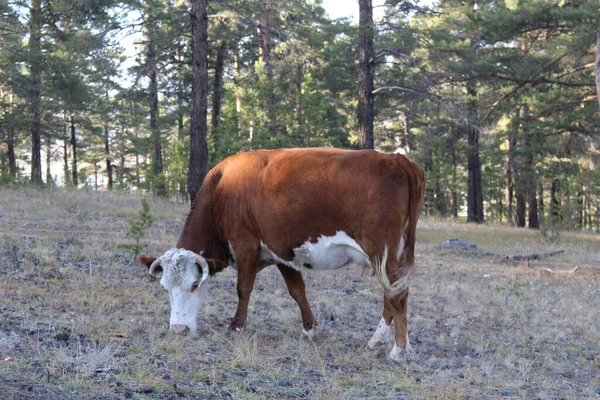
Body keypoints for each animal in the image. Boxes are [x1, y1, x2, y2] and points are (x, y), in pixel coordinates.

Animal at [138, 148, 424, 362]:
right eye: (164, 287)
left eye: (195, 284)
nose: (179, 329)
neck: (223, 188)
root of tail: (397, 159)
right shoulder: (283, 253)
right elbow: (297, 290)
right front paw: (309, 328)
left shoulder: (246, 245)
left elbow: (243, 288)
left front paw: (236, 325)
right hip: (388, 256)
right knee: (391, 294)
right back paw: (376, 341)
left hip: (383, 252)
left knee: (398, 295)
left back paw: (399, 350)